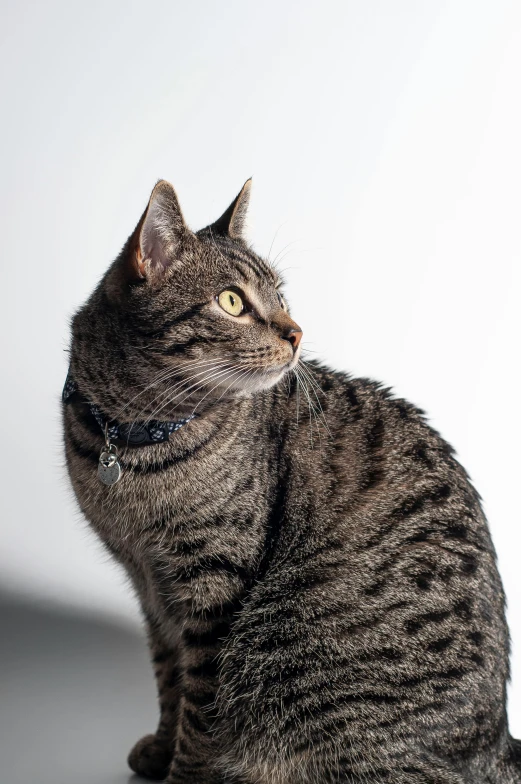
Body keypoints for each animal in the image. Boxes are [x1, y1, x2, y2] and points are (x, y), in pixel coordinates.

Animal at [62, 179, 520, 784]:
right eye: (232, 301)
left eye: (281, 296)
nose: (297, 332)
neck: (131, 439)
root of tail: (497, 742)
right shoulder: (149, 586)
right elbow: (168, 677)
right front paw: (159, 748)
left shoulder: (213, 586)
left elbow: (200, 708)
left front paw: (182, 774)